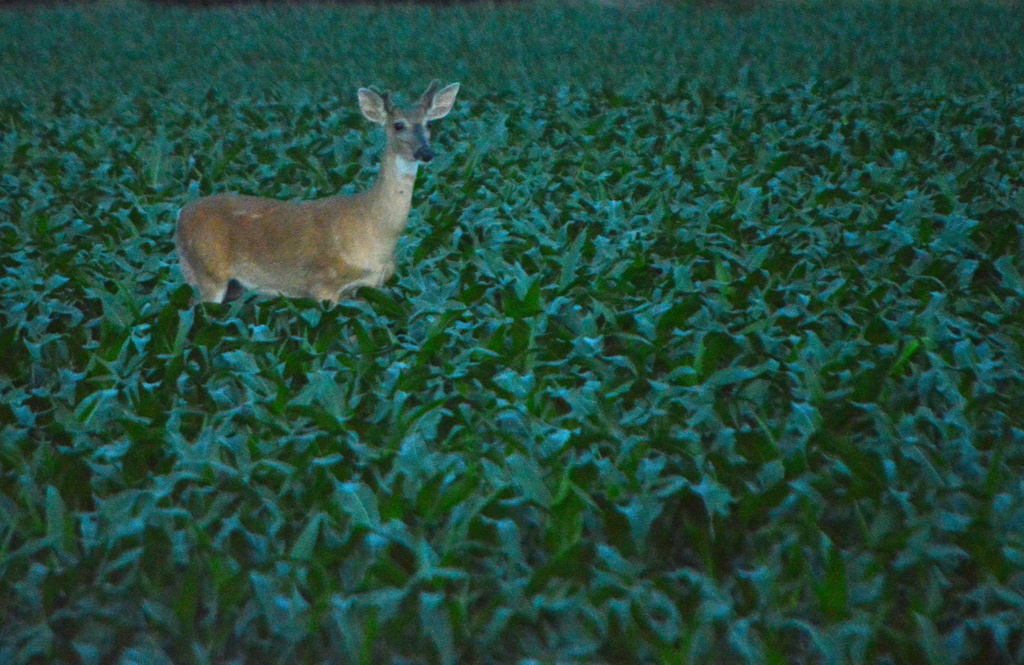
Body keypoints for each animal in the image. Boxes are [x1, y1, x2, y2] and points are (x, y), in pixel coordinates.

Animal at [176, 80, 460, 305]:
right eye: (398, 125)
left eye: (429, 124)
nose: (426, 153)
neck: (373, 228)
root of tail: (181, 216)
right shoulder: (323, 284)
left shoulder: (369, 289)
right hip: (208, 271)